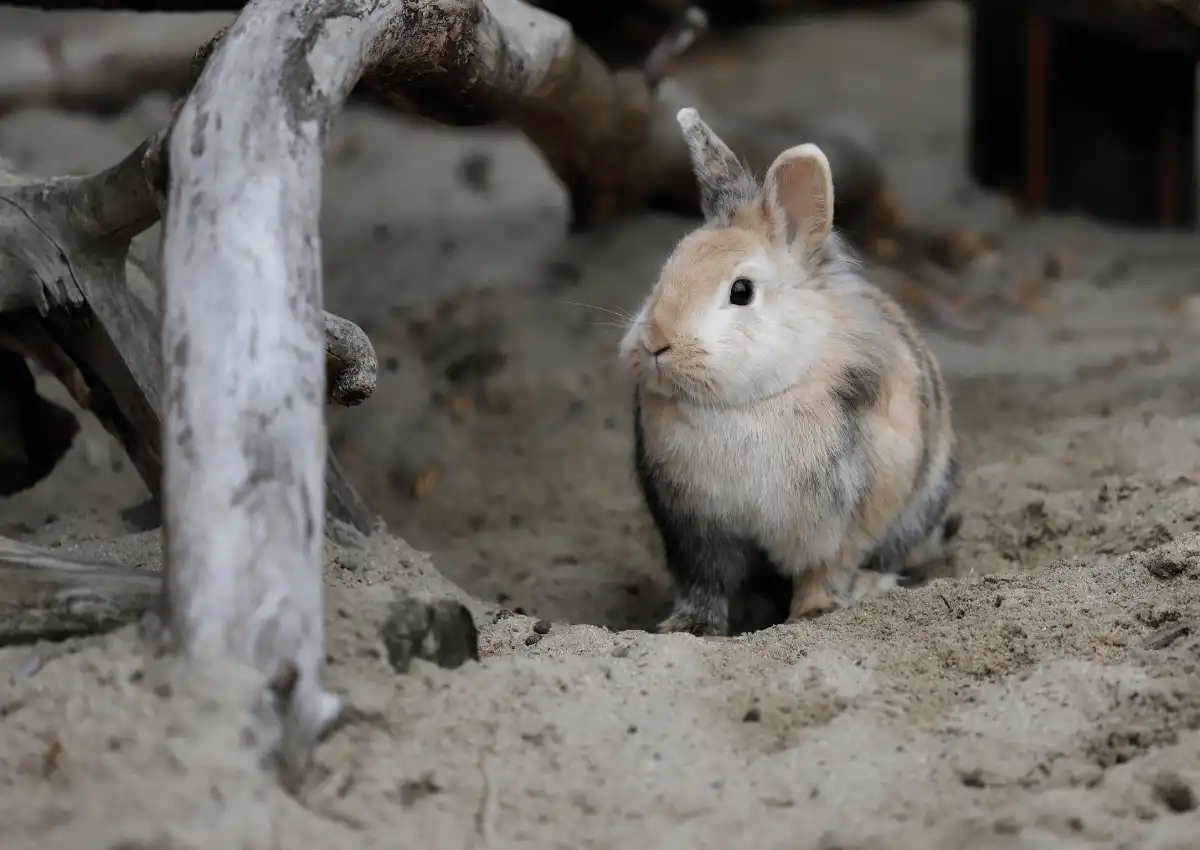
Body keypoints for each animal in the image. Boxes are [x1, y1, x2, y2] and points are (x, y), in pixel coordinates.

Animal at [624, 108, 960, 638]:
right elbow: (705, 584)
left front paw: (816, 613)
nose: (657, 342)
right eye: (667, 270)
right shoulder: (696, 531)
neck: (750, 402)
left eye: (741, 291)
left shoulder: (840, 525)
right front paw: (687, 627)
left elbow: (826, 569)